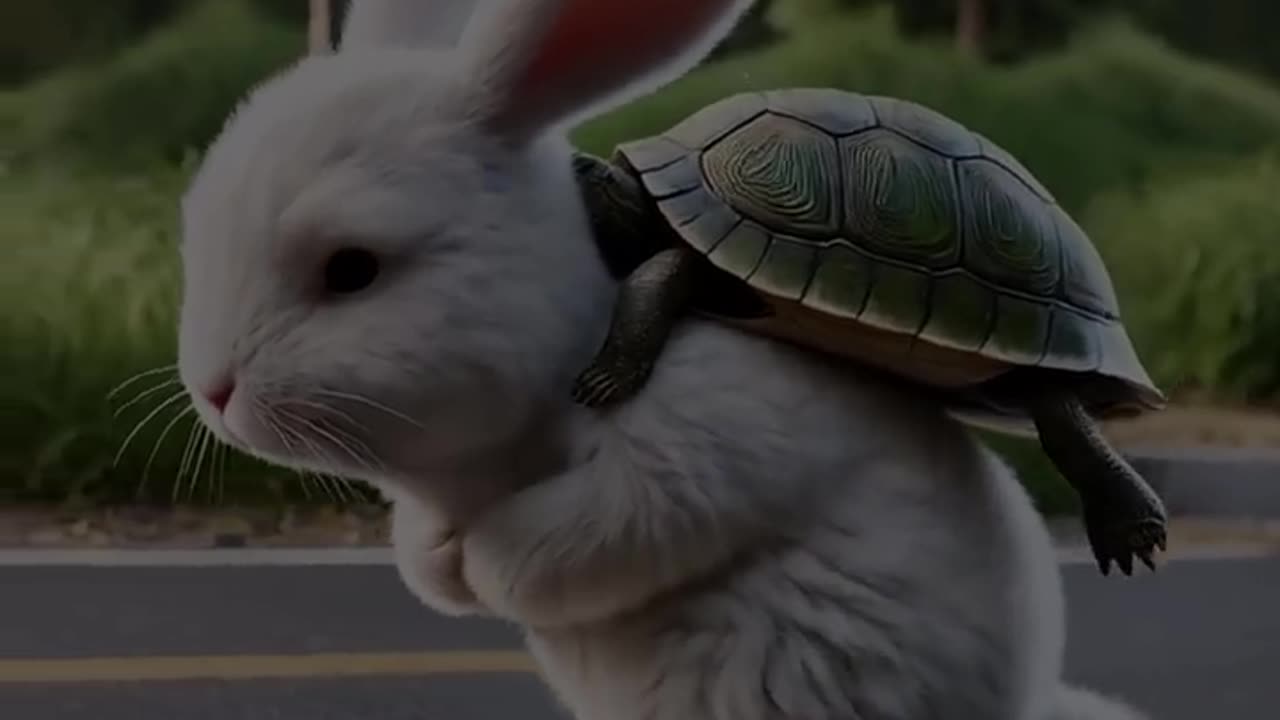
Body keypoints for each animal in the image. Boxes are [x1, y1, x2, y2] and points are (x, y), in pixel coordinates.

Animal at [175, 0, 1146, 712]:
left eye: (352, 268)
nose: (214, 391)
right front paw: (435, 561)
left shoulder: (703, 440)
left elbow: (602, 530)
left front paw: (481, 563)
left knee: (1061, 403)